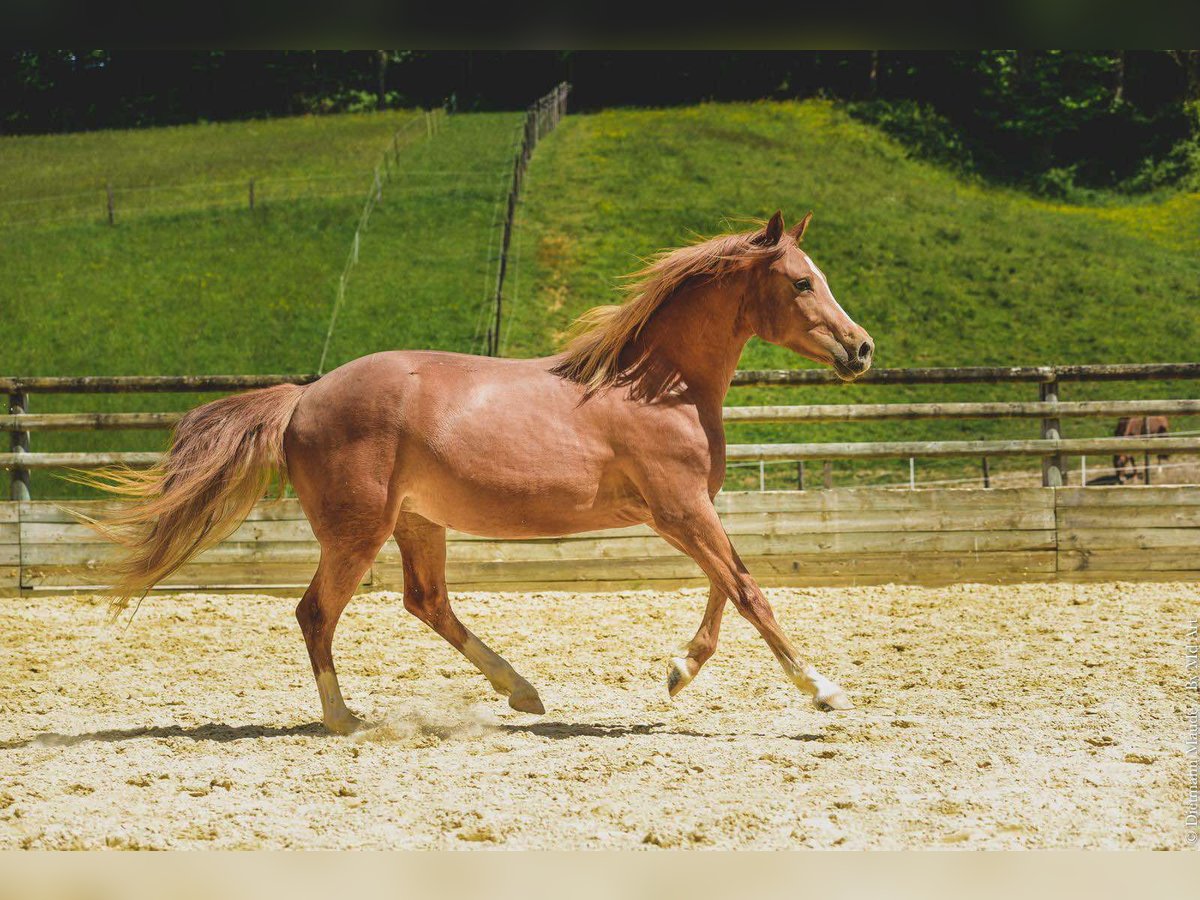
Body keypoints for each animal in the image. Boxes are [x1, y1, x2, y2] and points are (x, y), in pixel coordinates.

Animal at [79, 211, 878, 734]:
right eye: (802, 283)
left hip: (416, 522)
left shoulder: (687, 511)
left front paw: (679, 672)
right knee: (315, 613)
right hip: (358, 531)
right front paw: (824, 690)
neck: (659, 386)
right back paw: (346, 719)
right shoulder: (680, 509)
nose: (862, 348)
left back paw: (522, 692)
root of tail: (303, 396)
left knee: (426, 602)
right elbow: (747, 591)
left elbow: (726, 587)